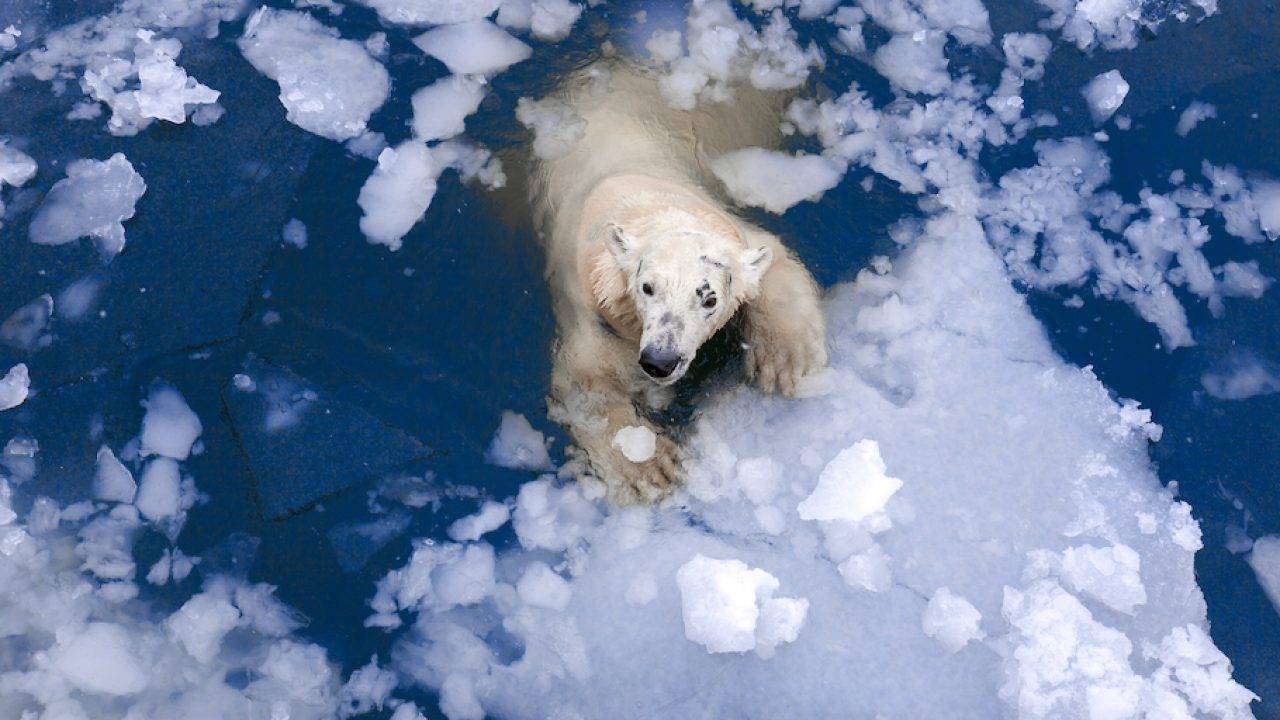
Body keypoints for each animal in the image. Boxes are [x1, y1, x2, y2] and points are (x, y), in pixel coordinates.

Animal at [529, 60, 829, 499]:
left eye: (709, 299)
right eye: (647, 288)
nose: (659, 361)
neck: (640, 201)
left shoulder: (730, 229)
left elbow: (772, 262)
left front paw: (785, 360)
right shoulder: (589, 306)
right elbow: (584, 384)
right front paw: (651, 466)